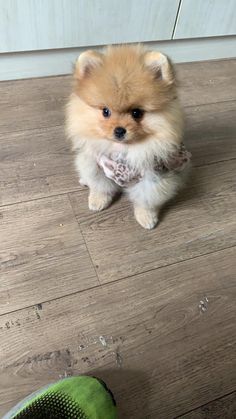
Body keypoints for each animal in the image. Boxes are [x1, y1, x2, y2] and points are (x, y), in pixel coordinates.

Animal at [65, 45, 191, 230]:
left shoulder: (153, 176)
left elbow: (146, 201)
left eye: (136, 113)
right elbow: (100, 186)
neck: (122, 150)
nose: (119, 130)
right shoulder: (96, 165)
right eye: (105, 111)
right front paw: (98, 200)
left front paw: (146, 217)